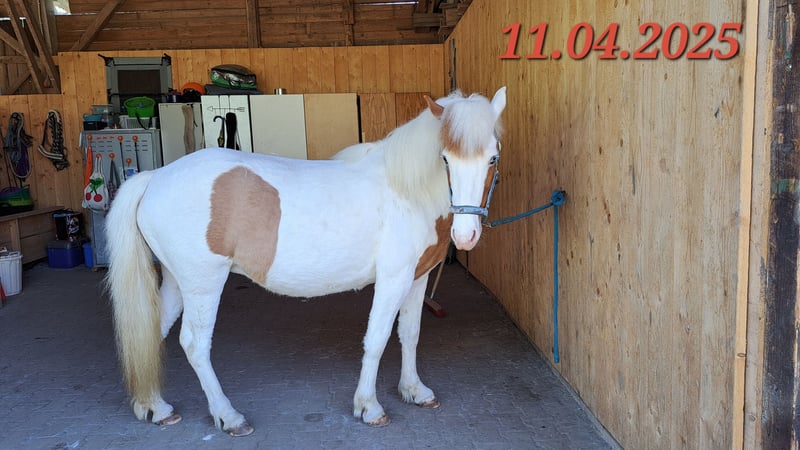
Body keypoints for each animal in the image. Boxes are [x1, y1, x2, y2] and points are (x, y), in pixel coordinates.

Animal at [104, 86, 507, 437]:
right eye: (445, 158)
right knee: (194, 343)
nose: (465, 235)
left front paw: (414, 391)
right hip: (203, 284)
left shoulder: (417, 277)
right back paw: (228, 415)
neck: (405, 189)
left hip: (177, 282)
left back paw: (154, 407)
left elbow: (409, 334)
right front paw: (369, 407)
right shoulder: (393, 279)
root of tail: (155, 177)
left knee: (152, 331)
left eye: (493, 157)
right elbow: (377, 339)